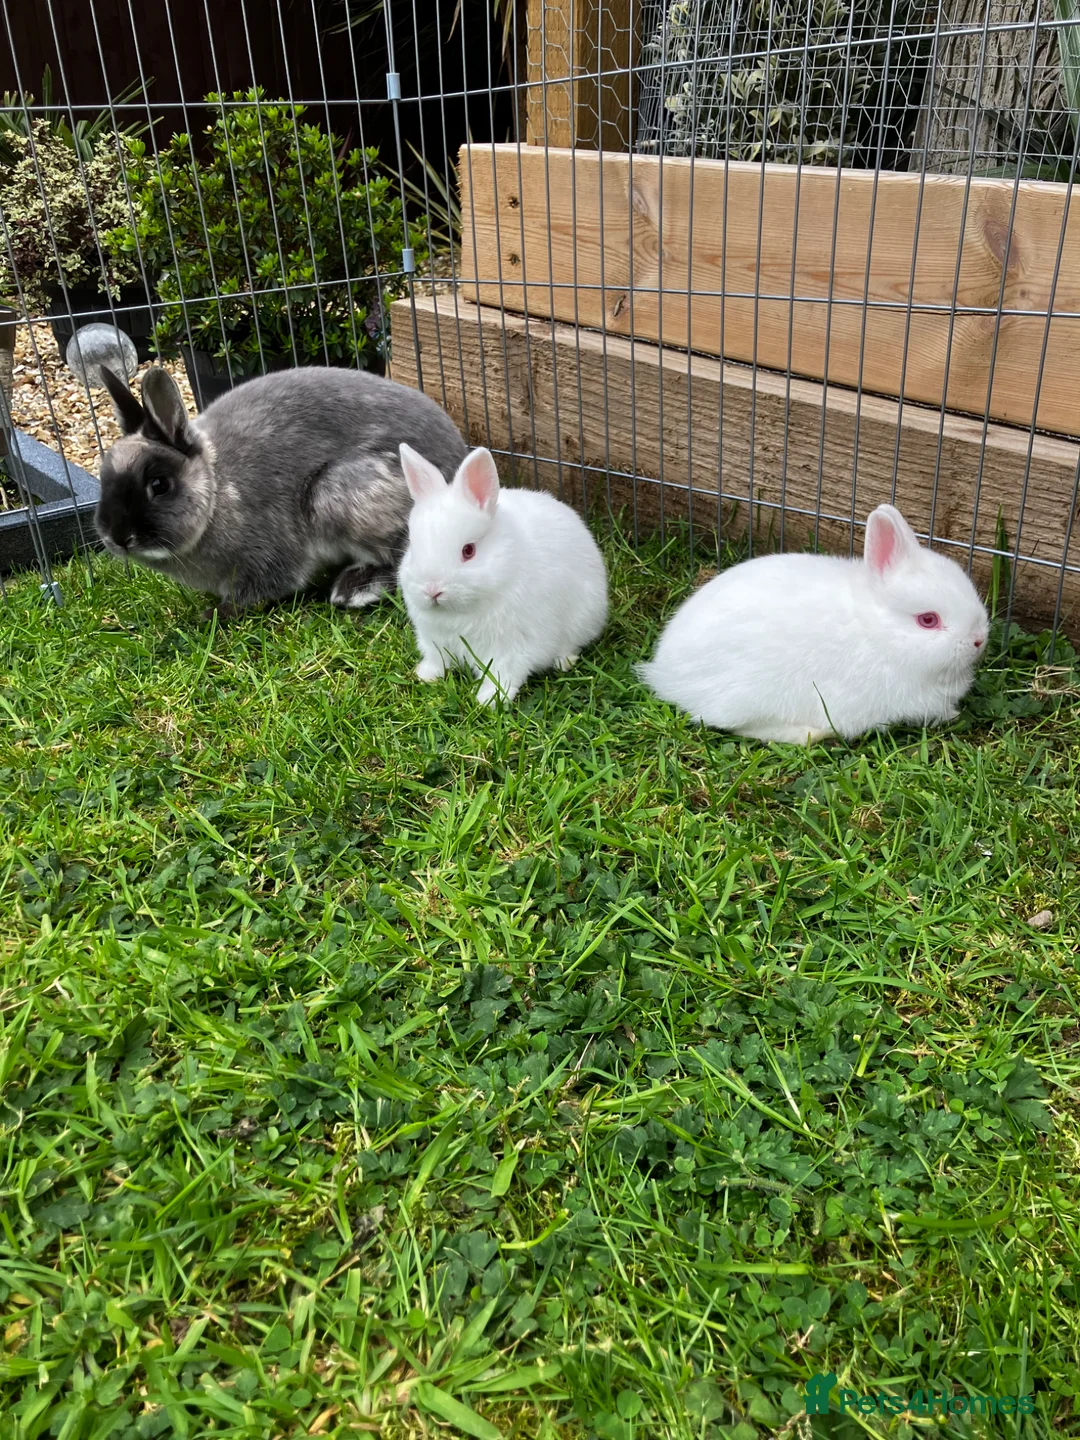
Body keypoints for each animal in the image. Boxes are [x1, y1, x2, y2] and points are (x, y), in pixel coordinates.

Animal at [96, 364, 467, 618]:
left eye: (160, 485)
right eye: (102, 475)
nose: (118, 537)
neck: (217, 491)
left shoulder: (266, 556)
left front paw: (213, 615)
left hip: (338, 494)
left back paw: (353, 589)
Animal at [397, 444, 609, 705]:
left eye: (469, 551)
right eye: (413, 547)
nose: (432, 590)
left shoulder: (511, 648)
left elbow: (503, 674)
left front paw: (489, 700)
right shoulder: (432, 639)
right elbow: (437, 660)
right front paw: (425, 675)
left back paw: (565, 662)